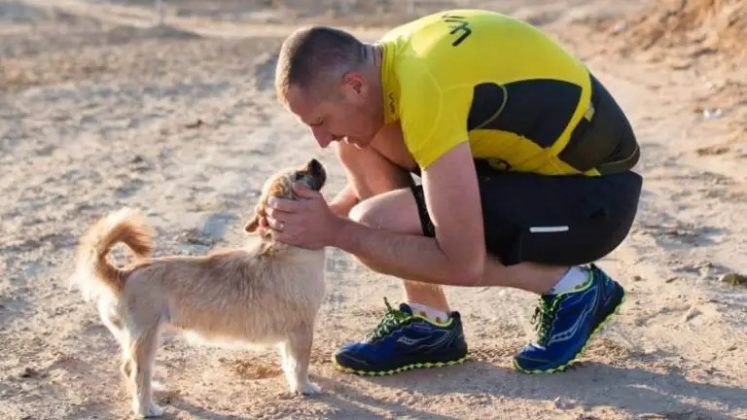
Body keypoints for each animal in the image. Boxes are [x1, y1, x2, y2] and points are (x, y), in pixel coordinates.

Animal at [70, 158, 328, 416]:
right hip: (145, 339)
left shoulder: (292, 335)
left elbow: (289, 362)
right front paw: (305, 387)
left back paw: (155, 388)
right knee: (137, 373)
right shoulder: (302, 331)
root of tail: (122, 274)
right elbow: (300, 364)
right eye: (299, 175)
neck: (283, 248)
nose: (315, 160)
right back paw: (146, 408)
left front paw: (296, 385)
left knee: (128, 368)